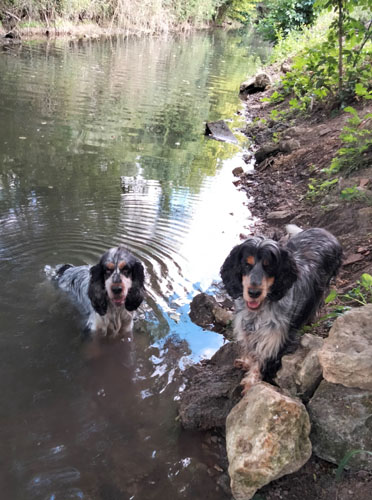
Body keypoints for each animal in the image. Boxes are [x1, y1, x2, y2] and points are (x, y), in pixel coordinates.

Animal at [221, 226, 342, 394]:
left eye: (269, 266)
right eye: (246, 264)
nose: (253, 293)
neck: (257, 312)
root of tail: (324, 230)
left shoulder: (275, 340)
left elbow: (261, 362)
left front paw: (250, 384)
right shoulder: (245, 329)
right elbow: (250, 350)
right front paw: (245, 361)